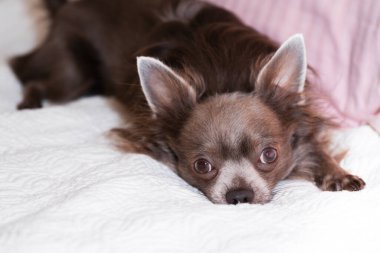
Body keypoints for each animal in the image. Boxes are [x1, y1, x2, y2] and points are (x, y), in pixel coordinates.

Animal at [9, 0, 366, 204]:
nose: (240, 195)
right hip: (74, 77)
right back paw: (29, 103)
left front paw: (337, 173)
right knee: (26, 72)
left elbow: (314, 147)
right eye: (202, 166)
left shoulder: (301, 122)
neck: (224, 78)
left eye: (269, 155)